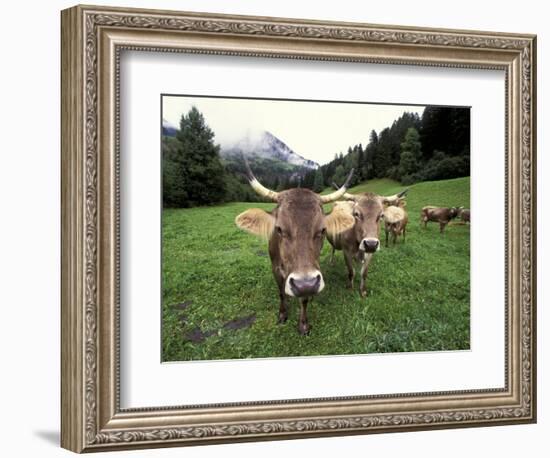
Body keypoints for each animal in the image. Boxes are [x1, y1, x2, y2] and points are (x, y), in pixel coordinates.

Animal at [235, 161, 356, 336]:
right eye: (279, 229)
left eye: (323, 230)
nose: (306, 284)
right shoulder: (275, 268)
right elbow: (280, 293)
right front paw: (282, 314)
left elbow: (303, 300)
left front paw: (303, 324)